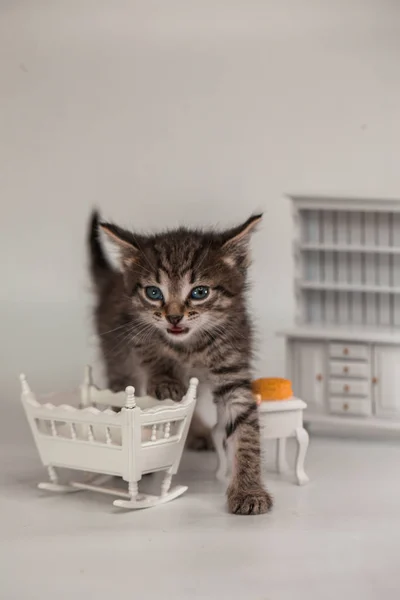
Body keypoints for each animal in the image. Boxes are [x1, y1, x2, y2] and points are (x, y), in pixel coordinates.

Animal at [89, 212, 274, 516]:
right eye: (153, 293)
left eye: (199, 292)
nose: (174, 317)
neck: (190, 347)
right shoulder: (132, 331)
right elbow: (152, 352)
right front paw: (165, 380)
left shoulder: (233, 367)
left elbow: (245, 431)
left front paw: (249, 490)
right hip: (117, 358)